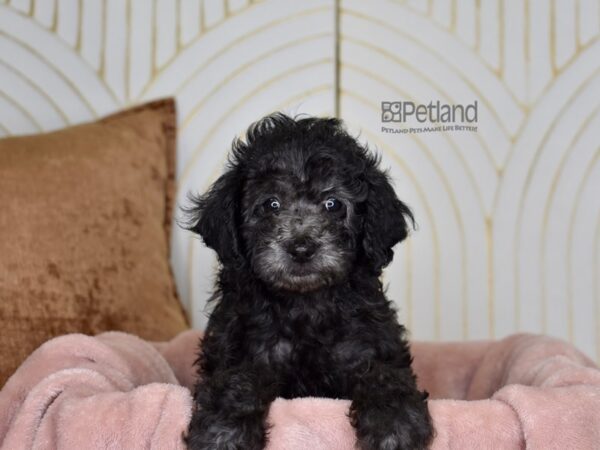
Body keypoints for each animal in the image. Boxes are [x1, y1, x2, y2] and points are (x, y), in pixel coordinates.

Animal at [185, 115, 434, 450]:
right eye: (271, 204)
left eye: (333, 204)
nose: (301, 248)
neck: (304, 306)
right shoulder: (244, 351)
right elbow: (237, 379)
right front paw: (222, 432)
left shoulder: (368, 347)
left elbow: (384, 375)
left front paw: (396, 425)